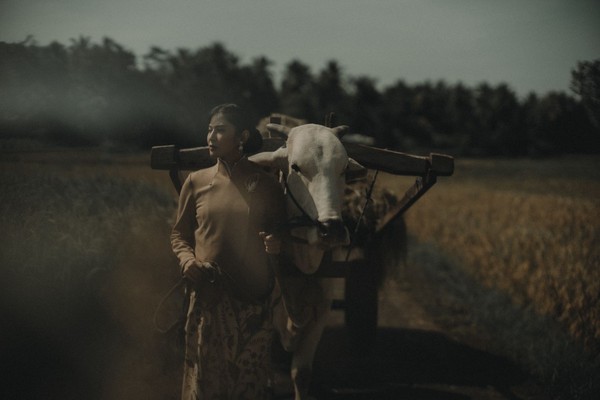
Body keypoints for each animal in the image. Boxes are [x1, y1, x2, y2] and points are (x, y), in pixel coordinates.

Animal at [248, 122, 366, 400]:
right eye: (296, 167)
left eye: (344, 169)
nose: (331, 230)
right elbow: (263, 355)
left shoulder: (322, 310)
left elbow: (301, 373)